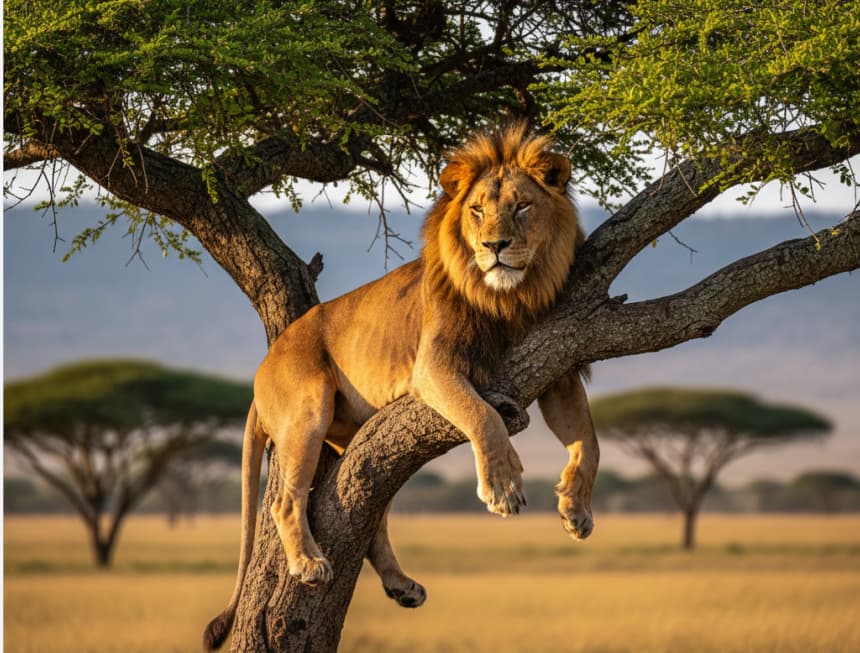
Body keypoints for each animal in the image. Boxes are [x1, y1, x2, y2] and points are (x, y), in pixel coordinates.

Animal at [203, 123, 600, 651]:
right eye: (477, 210)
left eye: (522, 207)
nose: (494, 245)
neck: (509, 297)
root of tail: (262, 367)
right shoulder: (431, 366)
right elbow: (482, 416)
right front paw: (502, 487)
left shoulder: (558, 362)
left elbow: (588, 441)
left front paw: (576, 508)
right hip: (307, 409)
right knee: (285, 500)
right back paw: (309, 564)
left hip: (362, 439)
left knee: (373, 516)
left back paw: (401, 585)